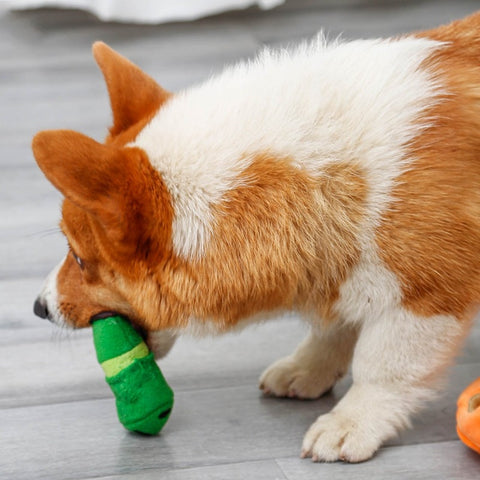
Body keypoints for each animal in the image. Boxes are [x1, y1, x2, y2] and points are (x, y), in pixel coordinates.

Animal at [31, 11, 480, 462]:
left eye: (80, 258)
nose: (38, 307)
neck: (323, 173)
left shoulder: (426, 295)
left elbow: (382, 366)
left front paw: (349, 423)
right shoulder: (344, 265)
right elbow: (335, 328)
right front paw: (306, 370)